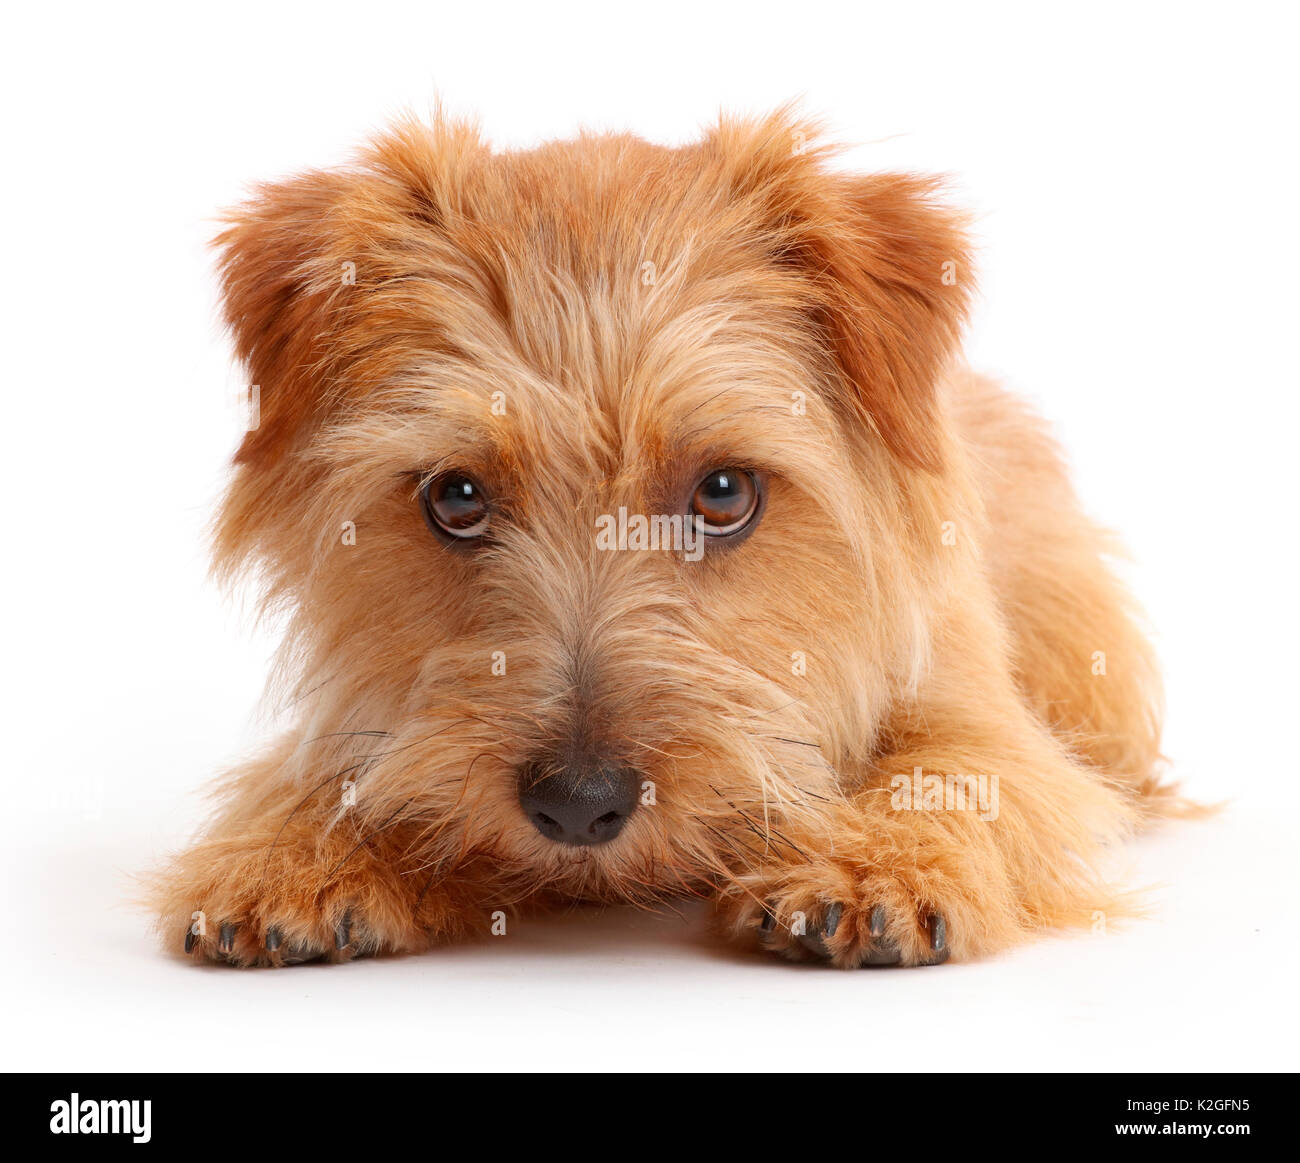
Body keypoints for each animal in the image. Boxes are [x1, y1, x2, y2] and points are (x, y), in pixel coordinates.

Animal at [152, 109, 1180, 966]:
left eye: (724, 492)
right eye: (456, 496)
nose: (578, 804)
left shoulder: (981, 714)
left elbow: (960, 771)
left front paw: (869, 865)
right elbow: (335, 773)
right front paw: (297, 852)